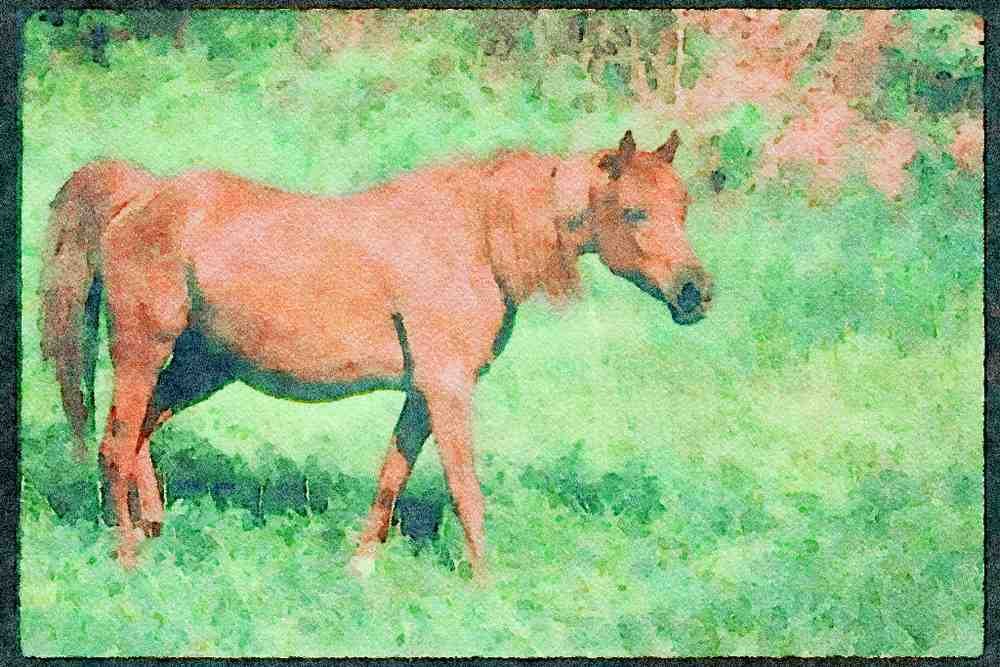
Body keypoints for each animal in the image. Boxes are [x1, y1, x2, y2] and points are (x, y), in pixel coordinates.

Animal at [39, 129, 713, 577]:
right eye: (635, 212)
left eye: (681, 208)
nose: (696, 294)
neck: (478, 234)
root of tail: (141, 196)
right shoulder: (447, 388)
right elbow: (465, 488)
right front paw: (484, 582)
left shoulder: (421, 393)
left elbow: (392, 475)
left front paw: (361, 569)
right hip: (144, 350)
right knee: (116, 445)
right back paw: (127, 555)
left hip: (202, 368)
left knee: (140, 437)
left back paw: (152, 530)